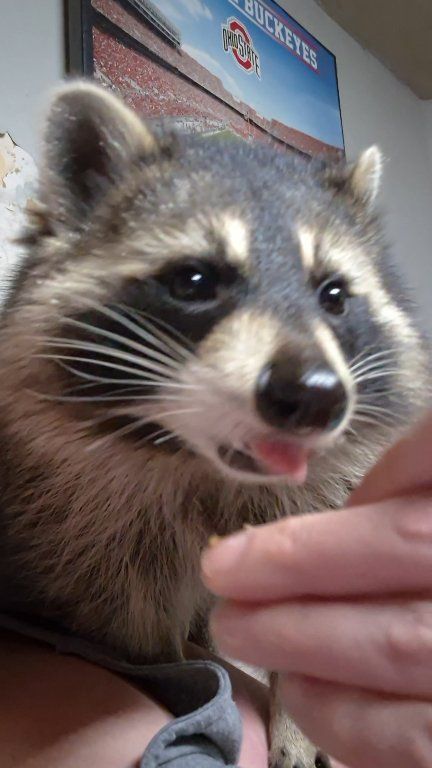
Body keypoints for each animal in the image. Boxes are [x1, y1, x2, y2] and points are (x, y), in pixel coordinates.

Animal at [0, 82, 428, 768]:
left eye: (334, 295)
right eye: (196, 280)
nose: (315, 397)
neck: (203, 465)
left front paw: (297, 722)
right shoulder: (85, 529)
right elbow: (132, 631)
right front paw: (177, 671)